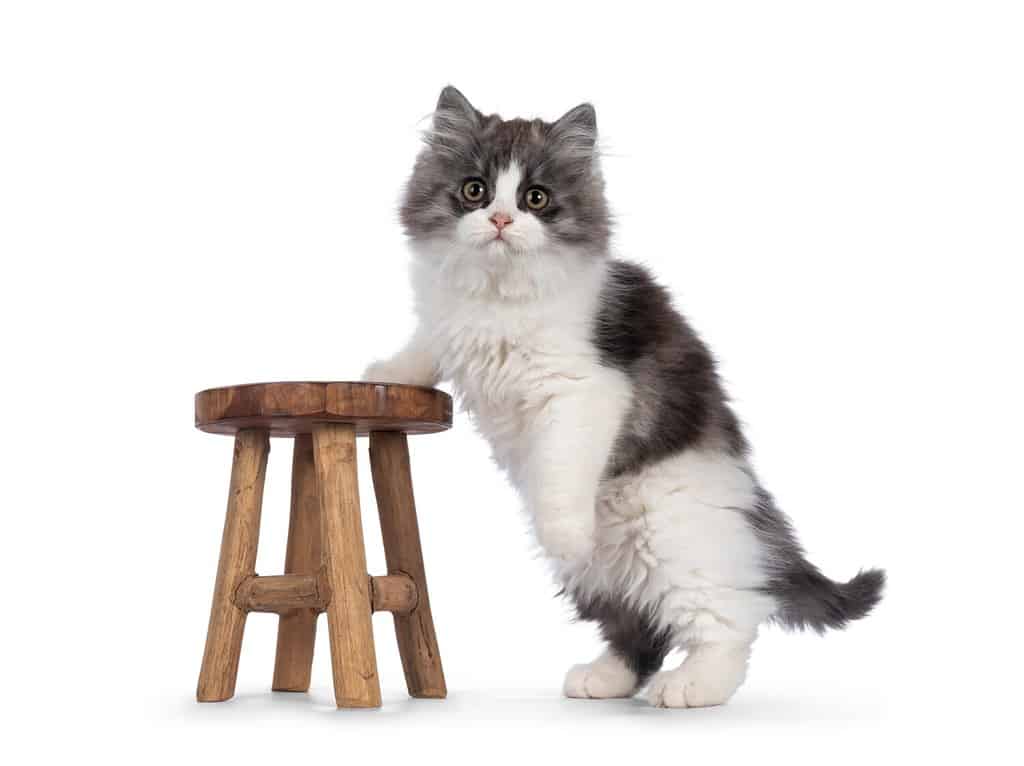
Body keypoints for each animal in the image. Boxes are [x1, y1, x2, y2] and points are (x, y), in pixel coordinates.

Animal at [364, 86, 884, 708]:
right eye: (475, 190)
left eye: (536, 198)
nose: (501, 219)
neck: (497, 295)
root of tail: (749, 499)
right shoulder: (448, 320)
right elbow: (427, 344)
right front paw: (386, 372)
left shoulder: (584, 391)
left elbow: (563, 472)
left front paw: (565, 530)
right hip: (602, 571)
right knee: (636, 623)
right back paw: (606, 676)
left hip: (673, 535)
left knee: (730, 617)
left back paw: (693, 685)